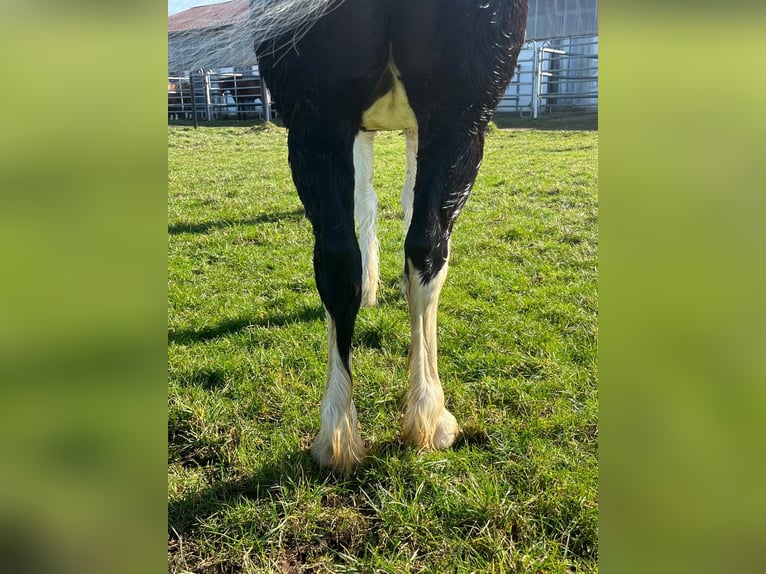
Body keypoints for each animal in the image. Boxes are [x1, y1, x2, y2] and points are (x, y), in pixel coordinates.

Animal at [251, 0, 528, 474]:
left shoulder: (361, 129)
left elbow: (371, 202)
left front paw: (372, 287)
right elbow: (396, 203)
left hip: (315, 127)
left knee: (337, 258)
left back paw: (337, 436)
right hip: (458, 125)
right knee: (429, 247)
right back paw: (429, 417)